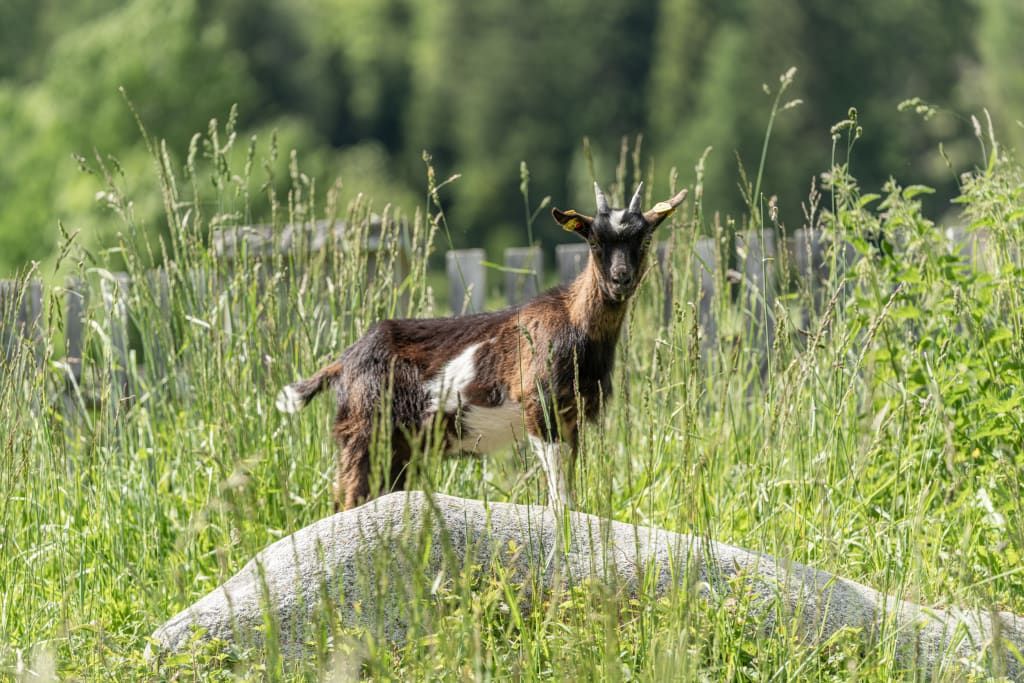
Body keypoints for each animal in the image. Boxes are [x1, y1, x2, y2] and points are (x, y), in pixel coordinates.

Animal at [276, 181, 688, 512]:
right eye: (595, 241)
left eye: (645, 239)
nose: (621, 280)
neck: (574, 322)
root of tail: (344, 361)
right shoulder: (539, 405)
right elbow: (557, 485)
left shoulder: (573, 415)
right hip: (365, 430)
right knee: (348, 496)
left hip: (400, 446)